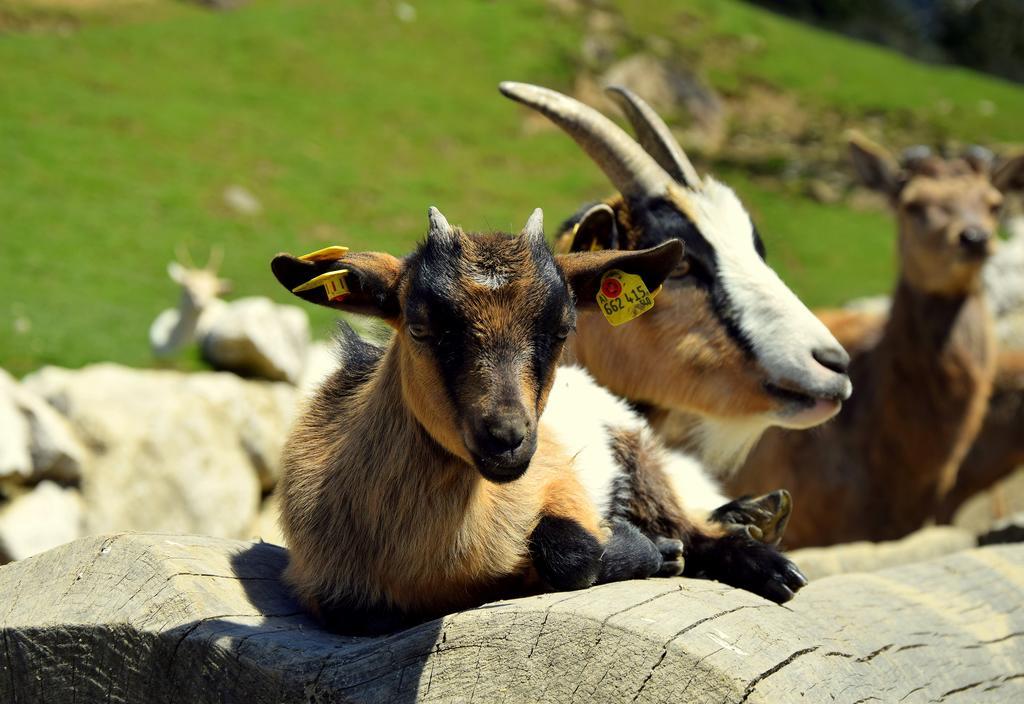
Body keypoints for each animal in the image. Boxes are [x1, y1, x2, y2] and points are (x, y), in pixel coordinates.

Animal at [272, 206, 806, 634]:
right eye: (420, 328)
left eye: (563, 329)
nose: (507, 438)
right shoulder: (329, 586)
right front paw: (651, 549)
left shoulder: (559, 481)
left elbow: (573, 553)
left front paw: (645, 548)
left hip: (636, 449)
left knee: (688, 520)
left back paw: (766, 554)